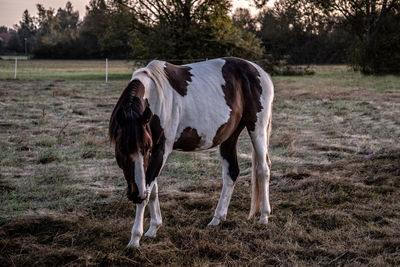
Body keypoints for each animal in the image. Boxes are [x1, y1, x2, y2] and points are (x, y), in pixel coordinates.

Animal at [108, 57, 276, 249]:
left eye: (146, 147)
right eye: (121, 148)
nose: (136, 195)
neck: (156, 97)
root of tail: (259, 71)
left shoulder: (160, 151)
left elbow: (149, 189)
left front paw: (135, 238)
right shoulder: (154, 155)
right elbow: (153, 189)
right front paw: (153, 228)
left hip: (258, 129)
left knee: (263, 170)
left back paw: (264, 216)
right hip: (229, 136)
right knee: (231, 173)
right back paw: (217, 219)